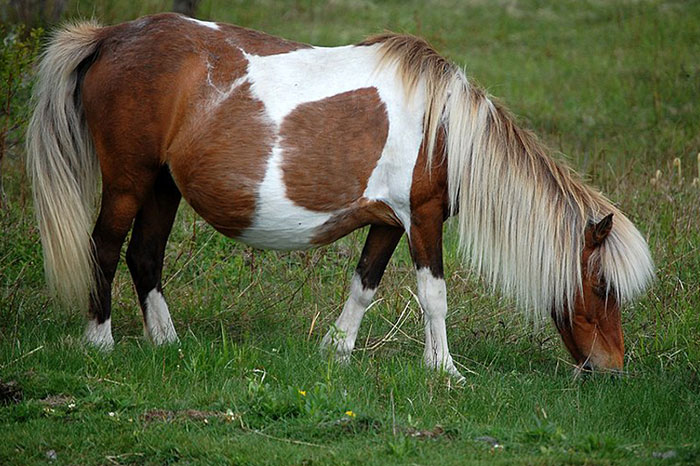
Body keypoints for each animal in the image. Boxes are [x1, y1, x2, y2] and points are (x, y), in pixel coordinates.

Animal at [27, 13, 653, 380]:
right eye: (602, 287)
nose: (613, 369)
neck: (443, 129)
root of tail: (110, 38)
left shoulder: (389, 222)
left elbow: (364, 286)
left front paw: (338, 352)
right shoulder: (422, 219)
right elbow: (434, 297)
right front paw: (446, 372)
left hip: (162, 185)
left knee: (145, 257)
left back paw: (168, 344)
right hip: (128, 181)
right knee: (105, 249)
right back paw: (100, 342)